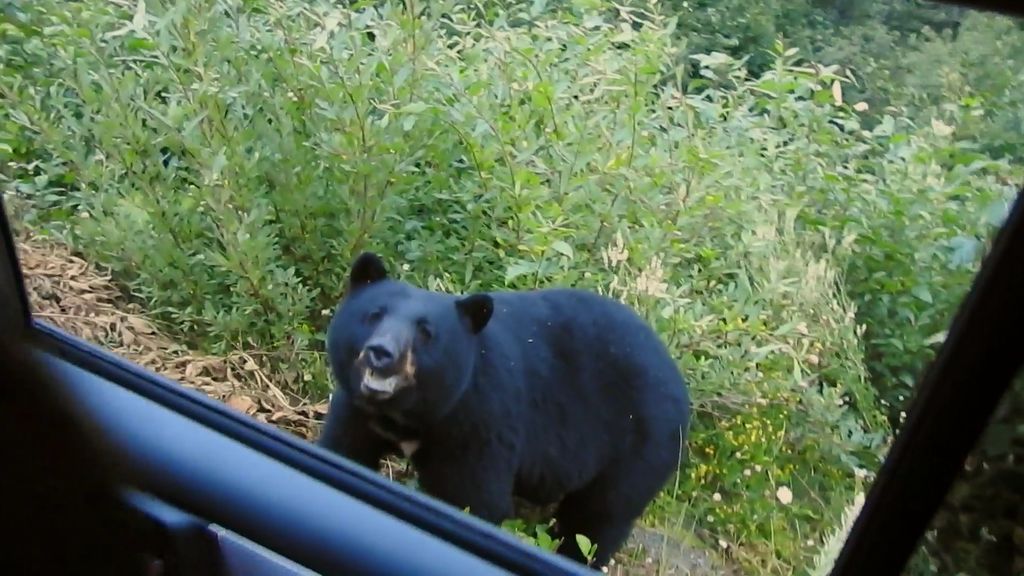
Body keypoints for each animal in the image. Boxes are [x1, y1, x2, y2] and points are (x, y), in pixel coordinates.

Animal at [315, 252, 692, 565]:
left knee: (597, 520)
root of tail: (681, 388)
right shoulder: (358, 411)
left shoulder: (480, 421)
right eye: (374, 315)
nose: (381, 353)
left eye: (426, 332)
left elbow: (474, 497)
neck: (410, 414)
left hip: (637, 449)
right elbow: (344, 447)